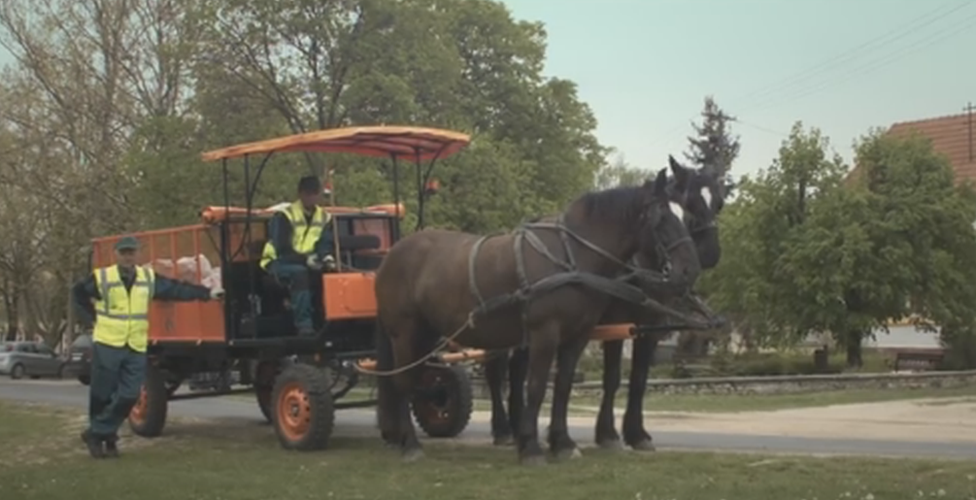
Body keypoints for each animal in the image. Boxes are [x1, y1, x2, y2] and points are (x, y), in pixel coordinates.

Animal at [374, 167, 700, 464]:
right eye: (662, 218)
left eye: (682, 214)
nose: (689, 269)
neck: (572, 255)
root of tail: (393, 254)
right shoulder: (547, 332)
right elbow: (538, 386)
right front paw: (532, 447)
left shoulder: (578, 336)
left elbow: (564, 386)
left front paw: (562, 442)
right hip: (404, 332)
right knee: (403, 382)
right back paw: (411, 444)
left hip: (428, 332)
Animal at [484, 158, 728, 452]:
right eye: (691, 201)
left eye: (718, 203)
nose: (709, 255)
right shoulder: (617, 325)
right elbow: (612, 378)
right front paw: (608, 433)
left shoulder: (649, 330)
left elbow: (639, 380)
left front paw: (637, 433)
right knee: (496, 371)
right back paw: (503, 429)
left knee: (518, 370)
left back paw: (518, 424)